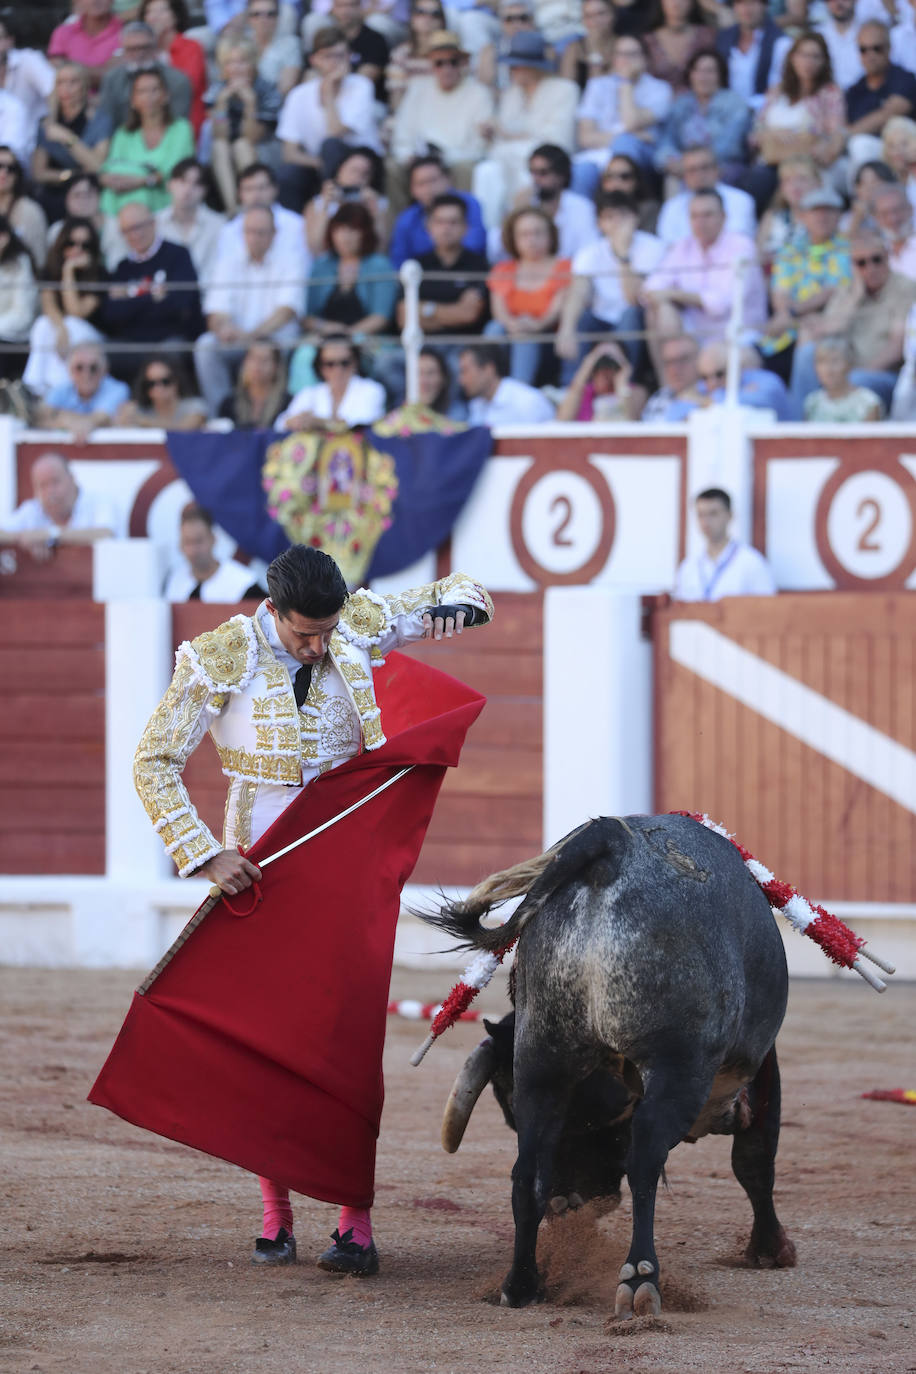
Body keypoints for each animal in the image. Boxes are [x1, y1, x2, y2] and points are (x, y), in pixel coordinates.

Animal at [425, 807, 796, 1313]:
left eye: (506, 1112)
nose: (572, 1201)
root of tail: (610, 842)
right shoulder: (758, 1068)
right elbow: (756, 1161)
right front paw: (770, 1249)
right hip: (676, 1065)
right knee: (645, 1158)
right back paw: (640, 1281)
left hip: (542, 1059)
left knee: (526, 1173)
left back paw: (521, 1283)